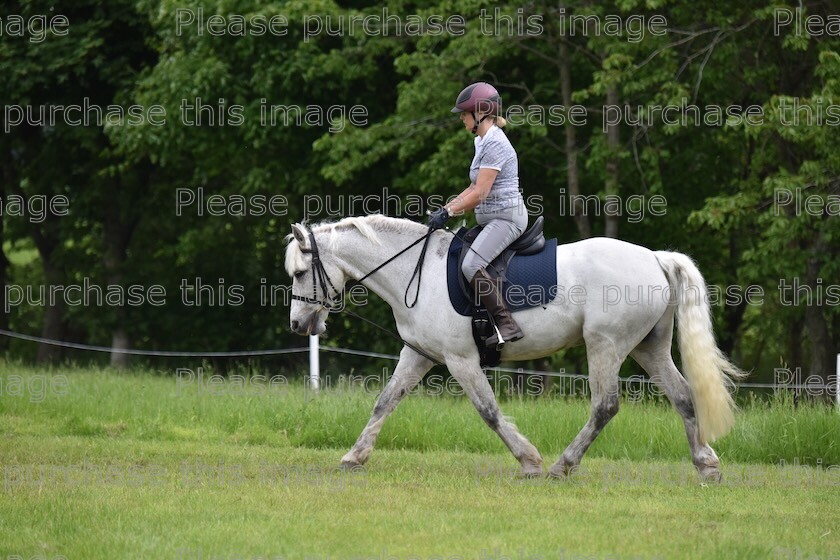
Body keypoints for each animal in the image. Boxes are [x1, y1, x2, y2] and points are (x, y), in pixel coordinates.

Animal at [286, 217, 744, 480]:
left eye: (300, 272)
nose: (297, 325)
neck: (415, 272)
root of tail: (654, 258)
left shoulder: (460, 360)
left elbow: (488, 411)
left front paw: (529, 460)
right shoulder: (418, 355)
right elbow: (385, 402)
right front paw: (354, 456)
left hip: (606, 344)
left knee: (605, 406)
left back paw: (562, 465)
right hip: (649, 348)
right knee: (683, 396)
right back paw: (706, 463)